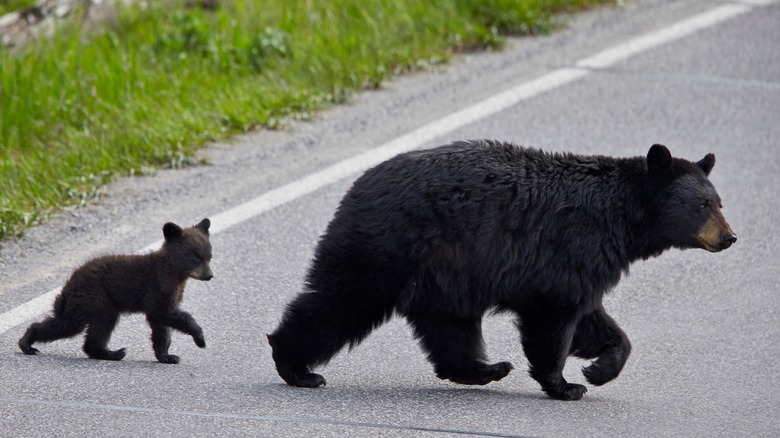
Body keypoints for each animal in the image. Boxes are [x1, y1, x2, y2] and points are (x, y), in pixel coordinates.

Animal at [19, 218, 213, 362]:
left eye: (209, 256)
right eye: (195, 257)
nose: (209, 275)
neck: (175, 273)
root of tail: (68, 285)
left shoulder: (168, 294)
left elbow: (161, 326)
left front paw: (167, 356)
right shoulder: (159, 287)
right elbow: (165, 313)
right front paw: (200, 339)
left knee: (68, 323)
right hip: (96, 298)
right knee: (86, 324)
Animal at [268, 143, 736, 400]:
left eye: (719, 202)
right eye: (703, 205)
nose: (730, 237)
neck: (618, 216)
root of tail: (356, 187)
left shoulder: (586, 263)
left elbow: (593, 319)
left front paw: (600, 367)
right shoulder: (568, 250)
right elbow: (555, 319)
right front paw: (566, 385)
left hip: (443, 274)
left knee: (448, 327)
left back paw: (487, 368)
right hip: (387, 249)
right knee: (340, 301)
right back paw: (297, 367)